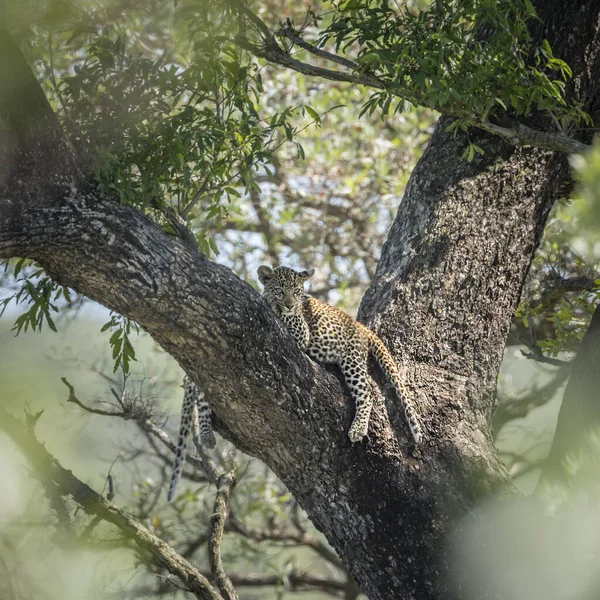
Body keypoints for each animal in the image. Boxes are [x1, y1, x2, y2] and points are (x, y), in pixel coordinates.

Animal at [258, 264, 422, 442]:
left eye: (296, 291)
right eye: (279, 290)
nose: (289, 305)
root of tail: (361, 327)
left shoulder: (301, 331)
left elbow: (285, 313)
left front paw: (271, 302)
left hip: (352, 360)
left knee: (366, 395)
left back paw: (358, 428)